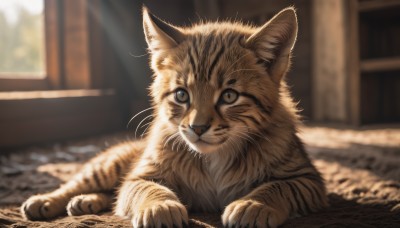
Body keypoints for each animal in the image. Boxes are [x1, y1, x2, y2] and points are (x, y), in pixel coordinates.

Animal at [21, 6, 328, 227]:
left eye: (229, 96)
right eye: (182, 95)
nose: (198, 128)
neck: (215, 156)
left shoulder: (308, 179)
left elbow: (277, 187)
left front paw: (254, 204)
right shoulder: (140, 175)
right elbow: (143, 189)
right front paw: (161, 206)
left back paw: (85, 202)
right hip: (110, 164)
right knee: (80, 183)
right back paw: (46, 201)